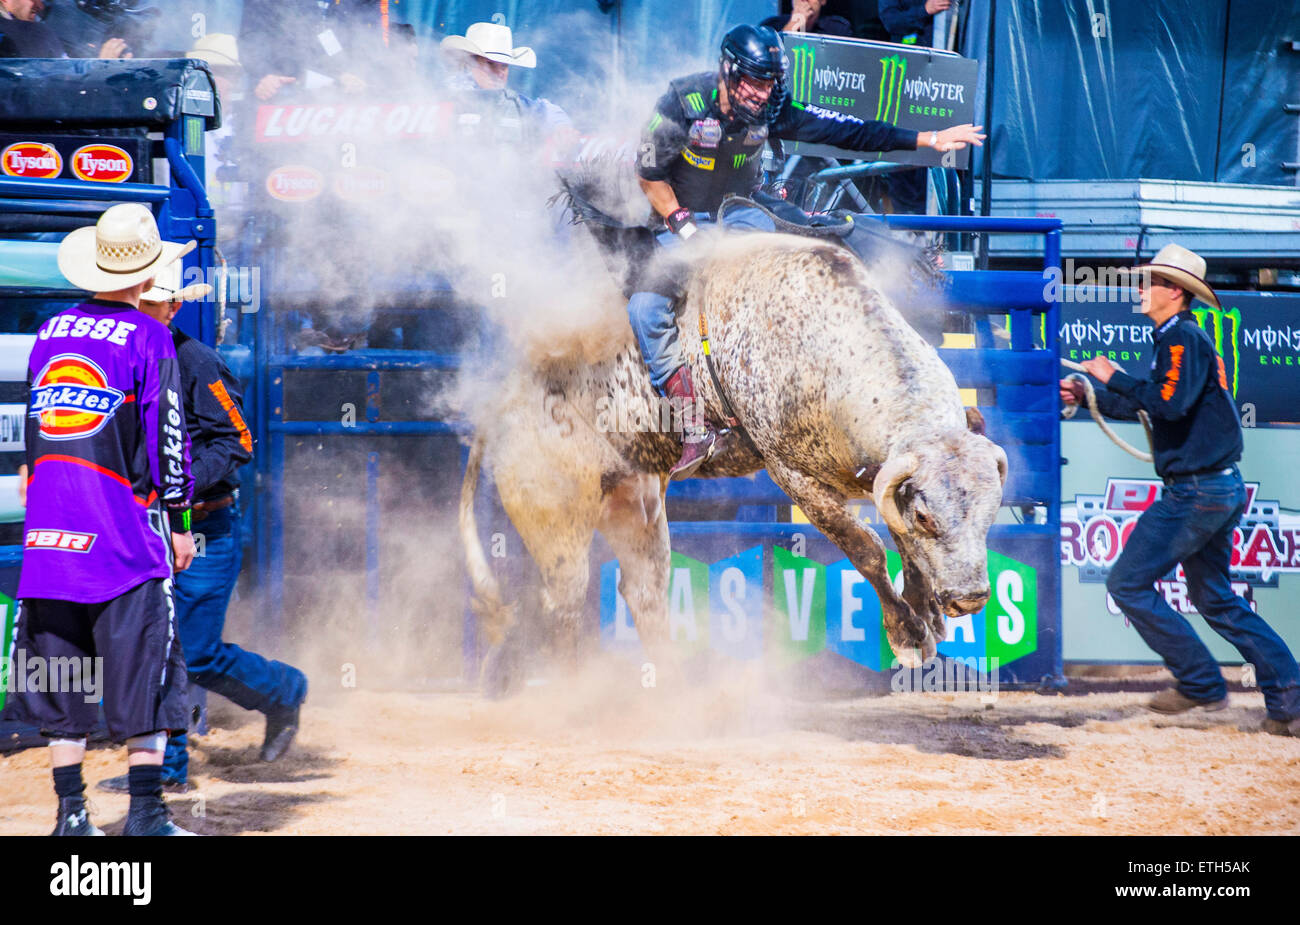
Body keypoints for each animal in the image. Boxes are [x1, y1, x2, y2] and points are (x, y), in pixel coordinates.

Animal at [462, 167, 1008, 696]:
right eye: (928, 518)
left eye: (990, 510)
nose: (969, 598)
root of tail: (501, 400)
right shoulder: (793, 476)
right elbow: (866, 548)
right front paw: (908, 634)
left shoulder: (882, 475)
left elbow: (897, 537)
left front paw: (926, 610)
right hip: (555, 513)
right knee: (563, 603)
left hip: (634, 504)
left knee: (642, 593)